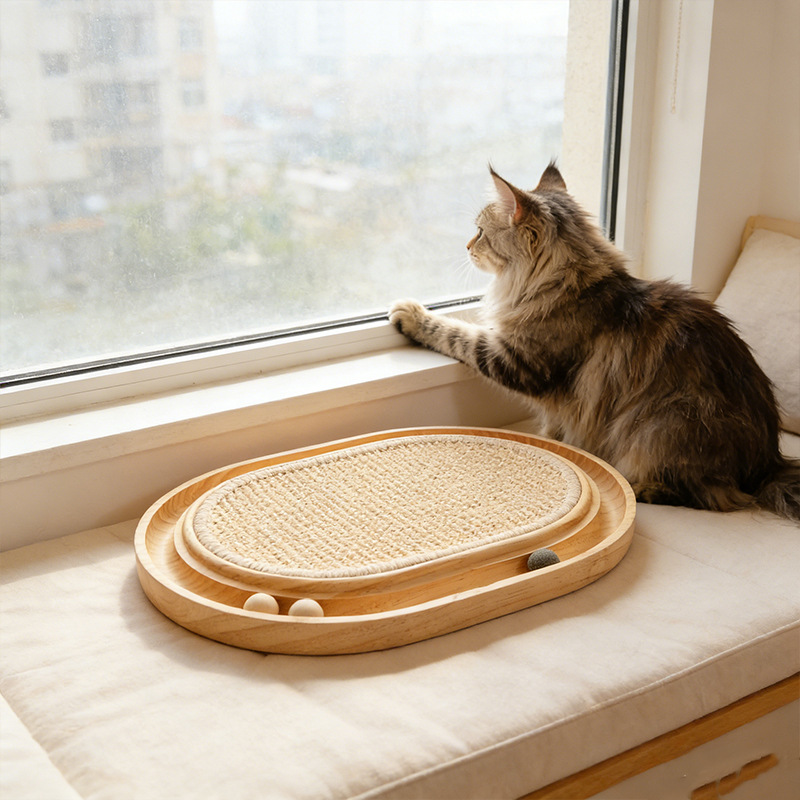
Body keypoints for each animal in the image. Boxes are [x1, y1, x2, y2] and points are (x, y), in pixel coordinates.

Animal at [390, 163, 800, 521]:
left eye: (480, 232)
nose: (466, 245)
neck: (568, 282)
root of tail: (769, 463)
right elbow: (552, 428)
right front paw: (556, 443)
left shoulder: (518, 359)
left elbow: (457, 334)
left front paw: (410, 314)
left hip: (663, 423)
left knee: (714, 496)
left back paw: (639, 486)